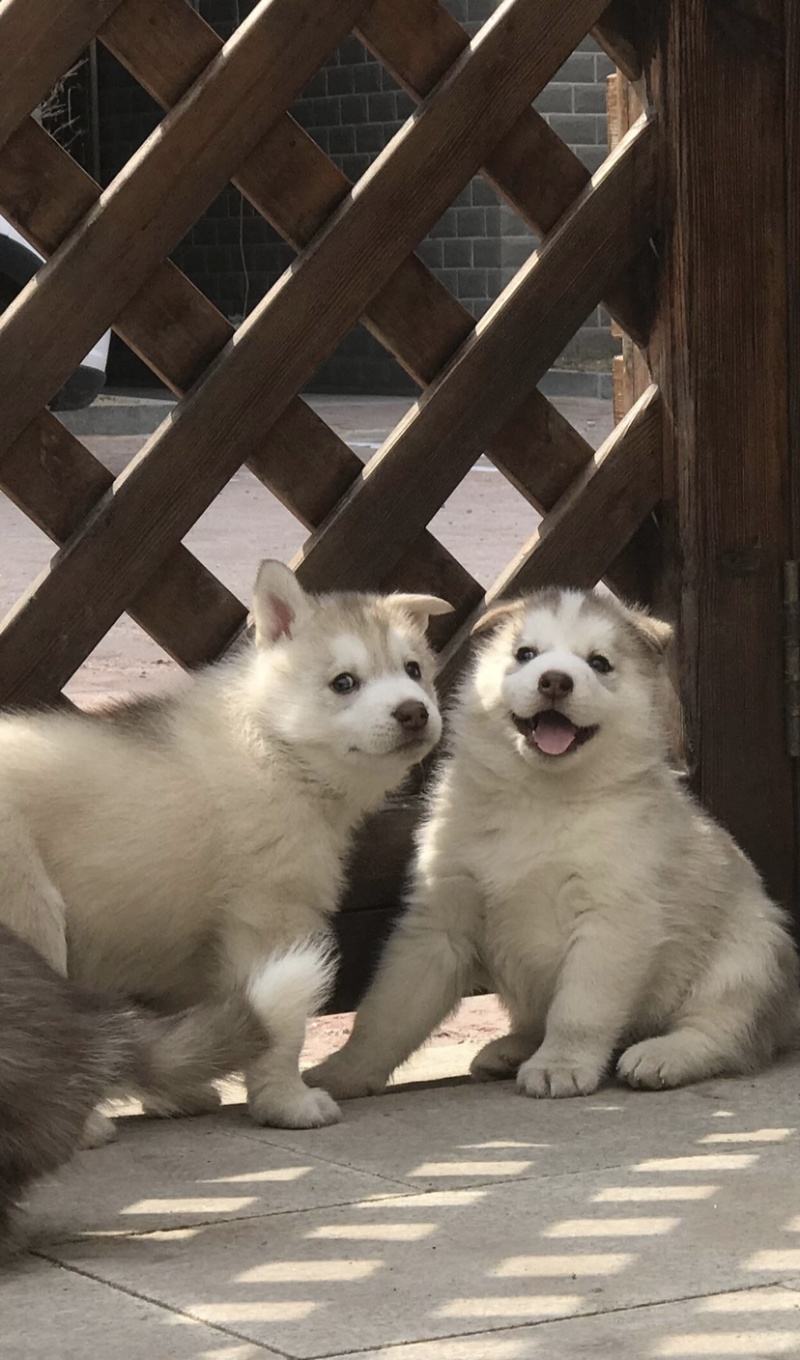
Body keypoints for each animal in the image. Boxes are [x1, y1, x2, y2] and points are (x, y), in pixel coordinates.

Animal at [0, 557, 448, 1131]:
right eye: (344, 682)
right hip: (30, 912)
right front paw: (286, 1102)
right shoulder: (273, 919)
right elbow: (280, 1030)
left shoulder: (187, 942)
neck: (275, 746)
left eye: (413, 670)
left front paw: (179, 1092)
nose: (414, 712)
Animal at [306, 590, 800, 1098]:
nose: (556, 681)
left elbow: (577, 1010)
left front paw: (559, 1065)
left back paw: (664, 1055)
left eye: (599, 663)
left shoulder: (610, 921)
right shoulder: (439, 922)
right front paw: (340, 1073)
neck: (539, 797)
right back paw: (509, 1050)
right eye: (525, 654)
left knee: (723, 1029)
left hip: (747, 955)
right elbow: (386, 1014)